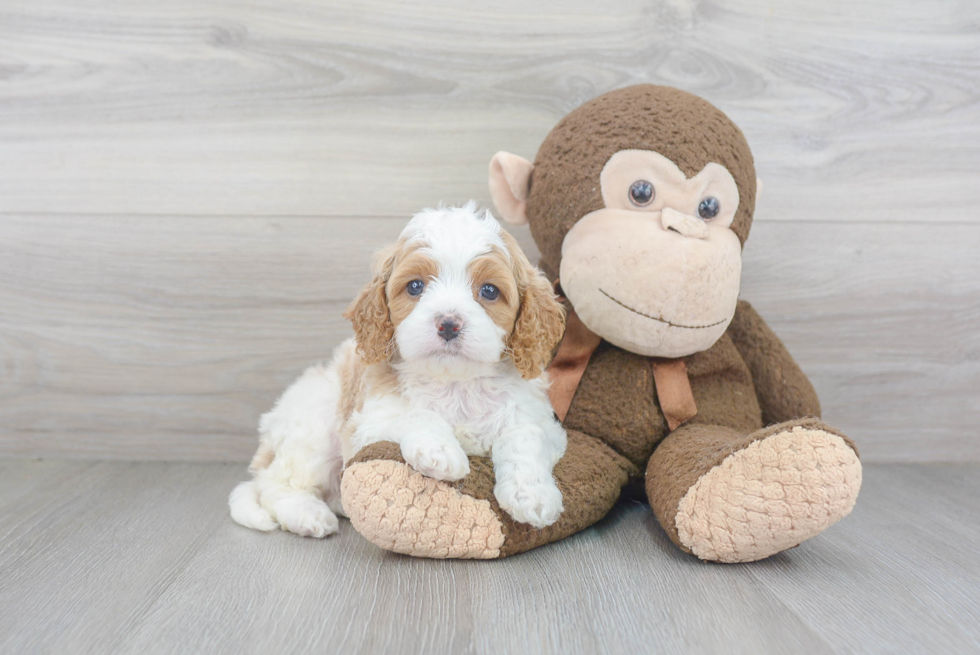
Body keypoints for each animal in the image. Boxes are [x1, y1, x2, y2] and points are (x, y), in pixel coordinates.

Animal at [230, 204, 568, 540]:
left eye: (489, 291)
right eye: (415, 286)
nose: (448, 324)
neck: (456, 383)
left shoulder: (540, 420)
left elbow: (525, 437)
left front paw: (533, 495)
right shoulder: (367, 422)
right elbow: (413, 414)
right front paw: (440, 450)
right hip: (314, 427)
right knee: (274, 483)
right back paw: (306, 514)